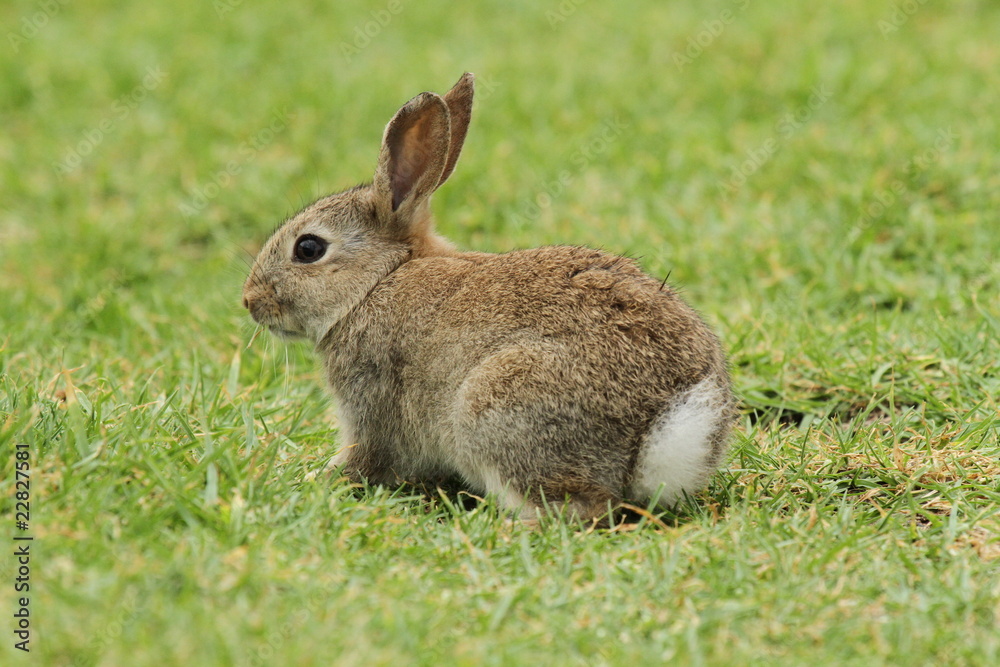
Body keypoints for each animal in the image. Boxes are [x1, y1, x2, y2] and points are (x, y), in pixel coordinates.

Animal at [242, 73, 736, 521]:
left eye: (308, 248)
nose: (250, 301)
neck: (376, 282)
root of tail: (661, 428)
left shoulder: (370, 399)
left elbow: (365, 457)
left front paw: (313, 478)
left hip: (493, 405)